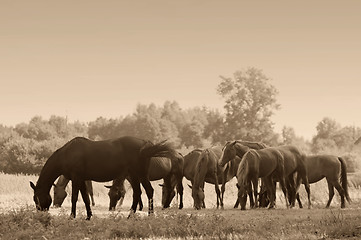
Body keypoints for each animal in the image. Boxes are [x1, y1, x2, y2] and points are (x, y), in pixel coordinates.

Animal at [30, 135, 174, 219]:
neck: (67, 154)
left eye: (36, 197)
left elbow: (74, 197)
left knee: (149, 191)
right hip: (133, 175)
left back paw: (150, 214)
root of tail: (146, 144)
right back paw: (130, 215)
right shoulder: (82, 179)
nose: (40, 213)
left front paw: (72, 216)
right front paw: (88, 216)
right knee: (137, 193)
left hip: (141, 174)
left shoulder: (76, 178)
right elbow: (85, 198)